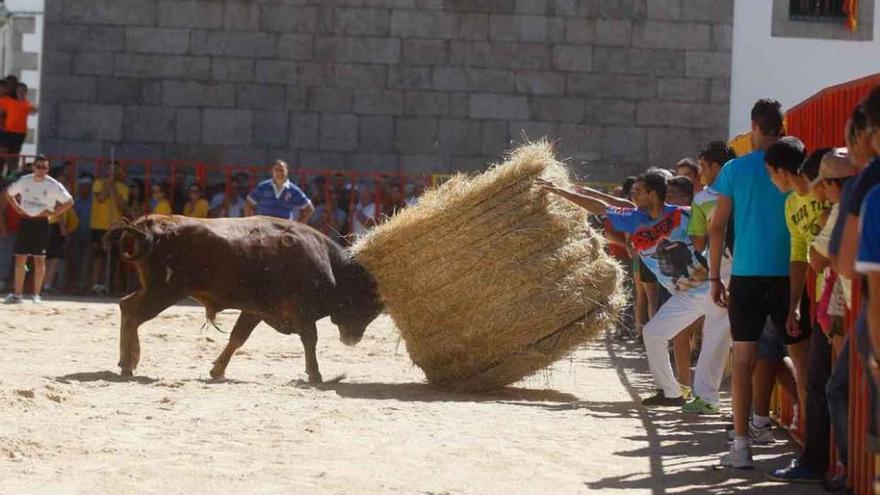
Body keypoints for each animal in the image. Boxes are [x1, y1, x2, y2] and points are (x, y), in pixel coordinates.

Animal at [105, 216, 382, 384]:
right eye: (369, 302)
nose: (353, 339)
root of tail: (147, 224)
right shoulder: (301, 312)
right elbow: (310, 340)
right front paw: (315, 375)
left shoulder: (255, 311)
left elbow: (238, 338)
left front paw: (217, 370)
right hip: (162, 292)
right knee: (131, 312)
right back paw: (128, 363)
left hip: (157, 291)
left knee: (126, 307)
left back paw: (127, 361)